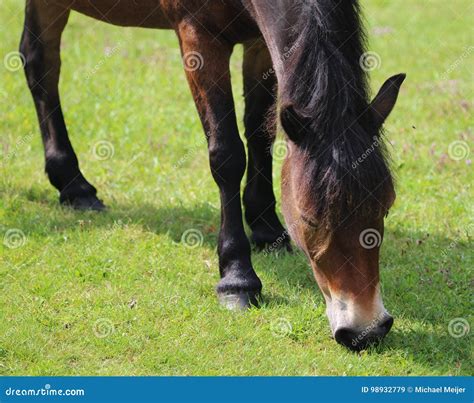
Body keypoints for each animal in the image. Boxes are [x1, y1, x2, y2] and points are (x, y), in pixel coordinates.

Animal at [18, 0, 404, 350]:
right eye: (309, 219)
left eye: (385, 209)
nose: (365, 330)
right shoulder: (198, 38)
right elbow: (227, 156)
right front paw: (237, 278)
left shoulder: (257, 41)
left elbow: (260, 132)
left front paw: (266, 227)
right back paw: (75, 185)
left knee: (39, 61)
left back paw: (72, 184)